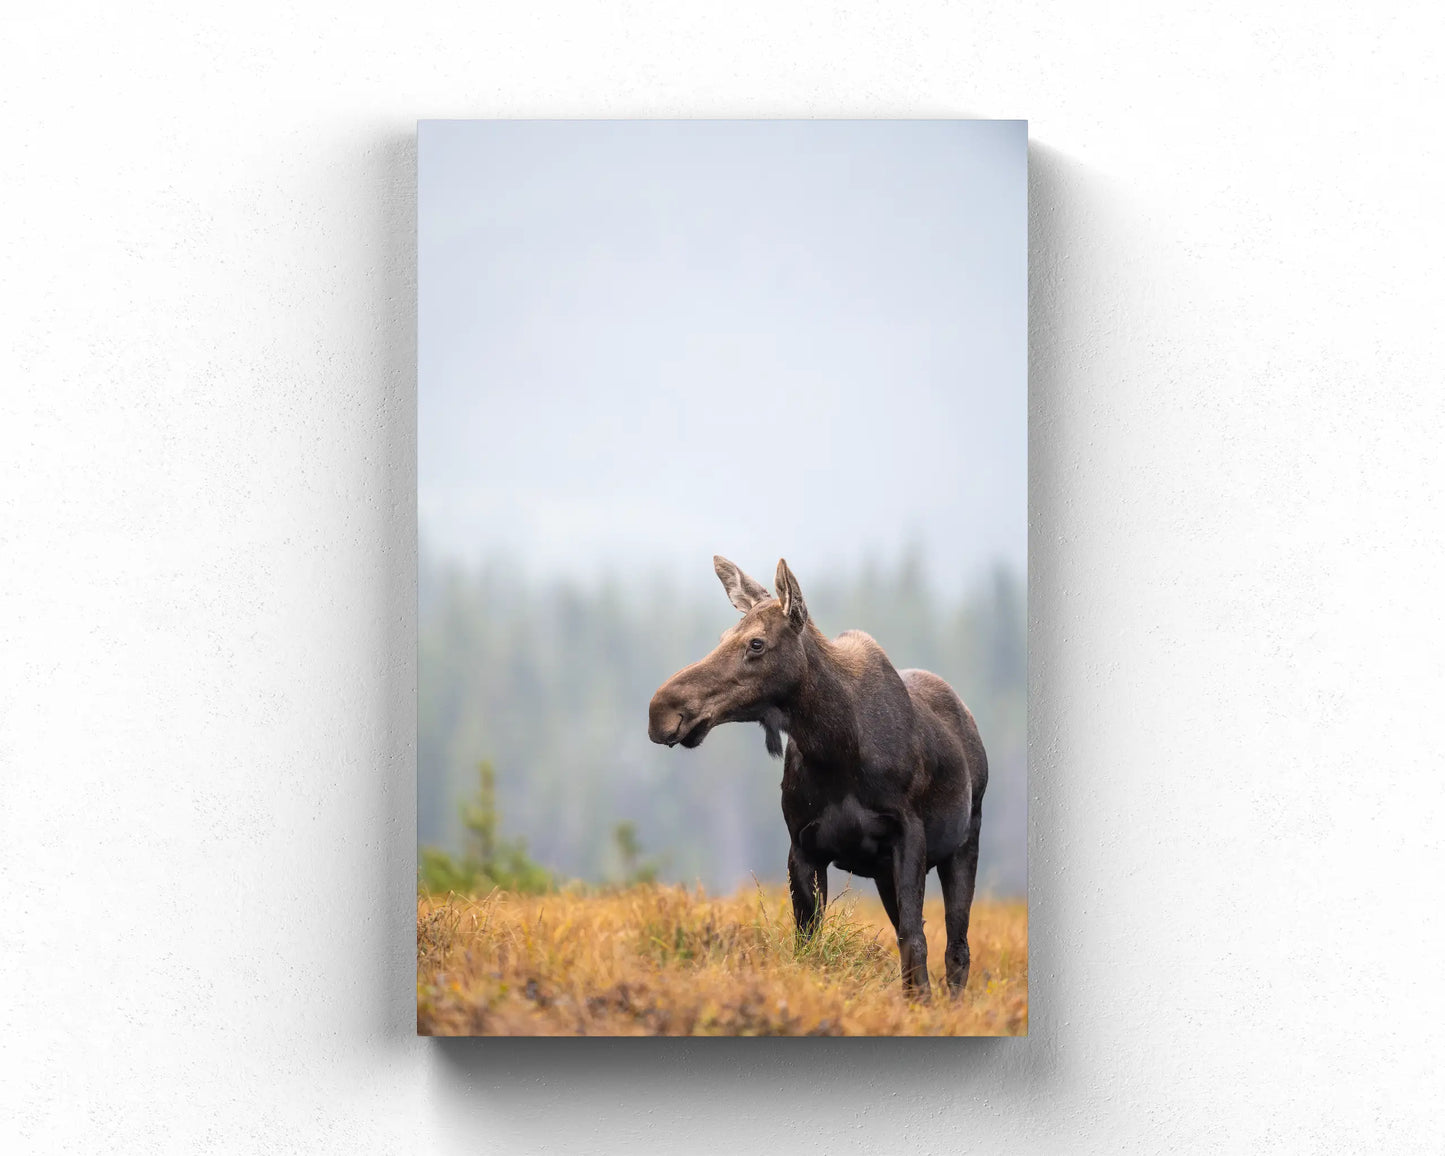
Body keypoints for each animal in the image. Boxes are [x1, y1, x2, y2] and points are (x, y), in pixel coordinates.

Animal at [647, 556, 988, 1000]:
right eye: (724, 635)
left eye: (756, 643)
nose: (662, 709)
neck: (837, 747)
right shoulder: (803, 846)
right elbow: (809, 944)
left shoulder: (909, 836)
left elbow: (915, 939)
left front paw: (923, 1006)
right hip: (884, 873)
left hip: (964, 842)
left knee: (957, 949)